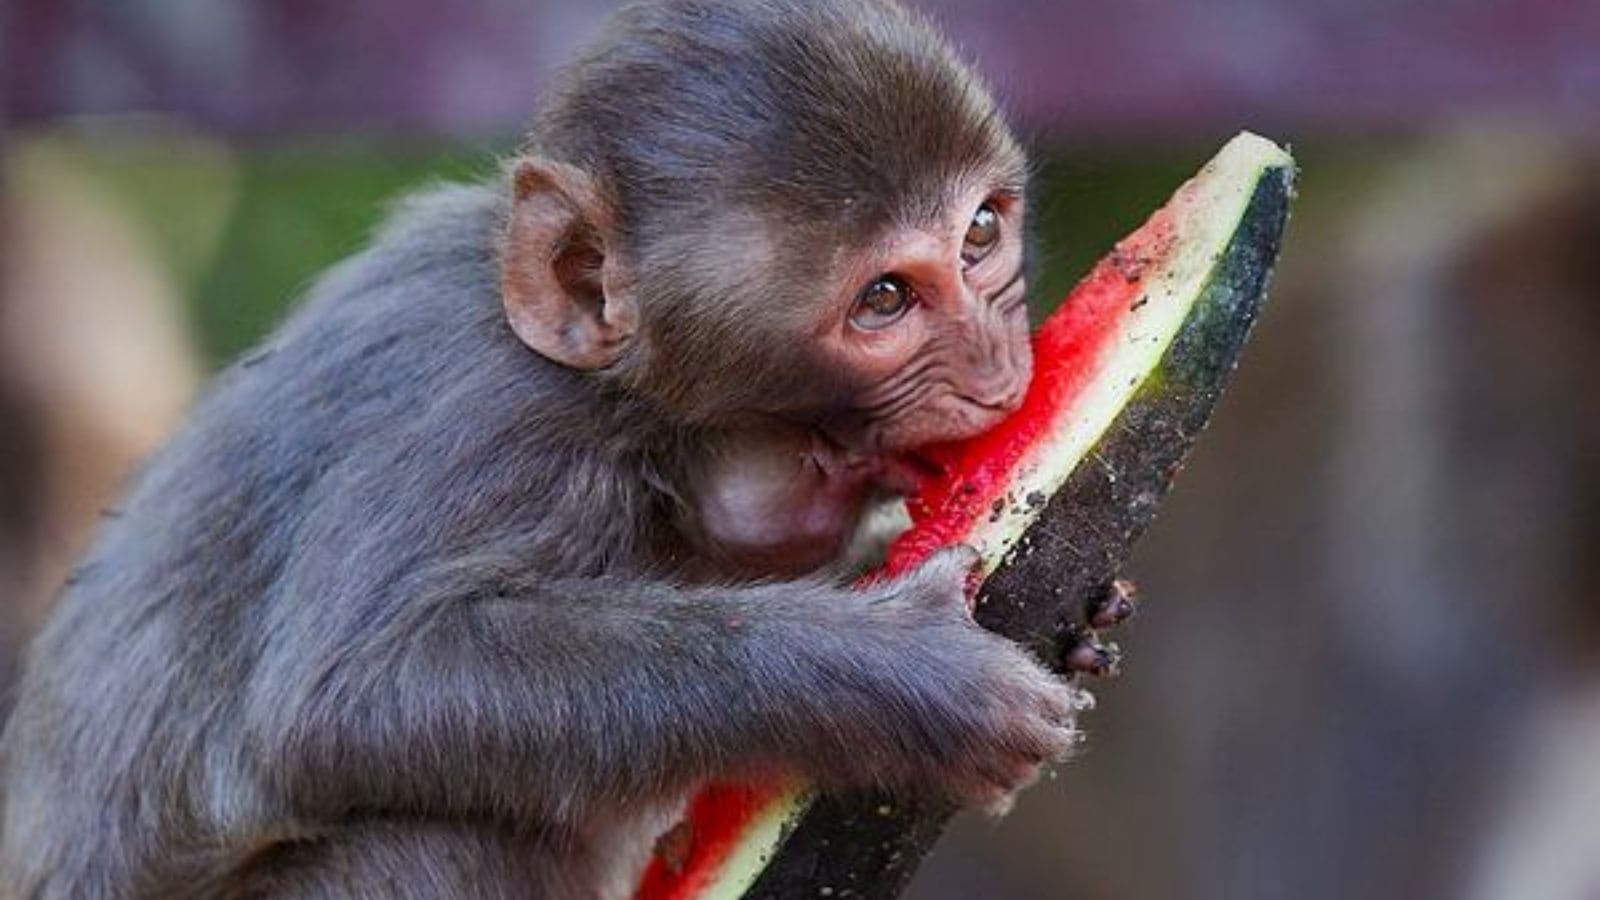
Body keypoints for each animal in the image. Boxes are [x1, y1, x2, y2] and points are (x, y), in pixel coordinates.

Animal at [0, 1, 1130, 897]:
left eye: (980, 234)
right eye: (885, 300)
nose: (998, 365)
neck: (635, 411)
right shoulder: (495, 417)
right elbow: (349, 690)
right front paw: (912, 681)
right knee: (431, 834)